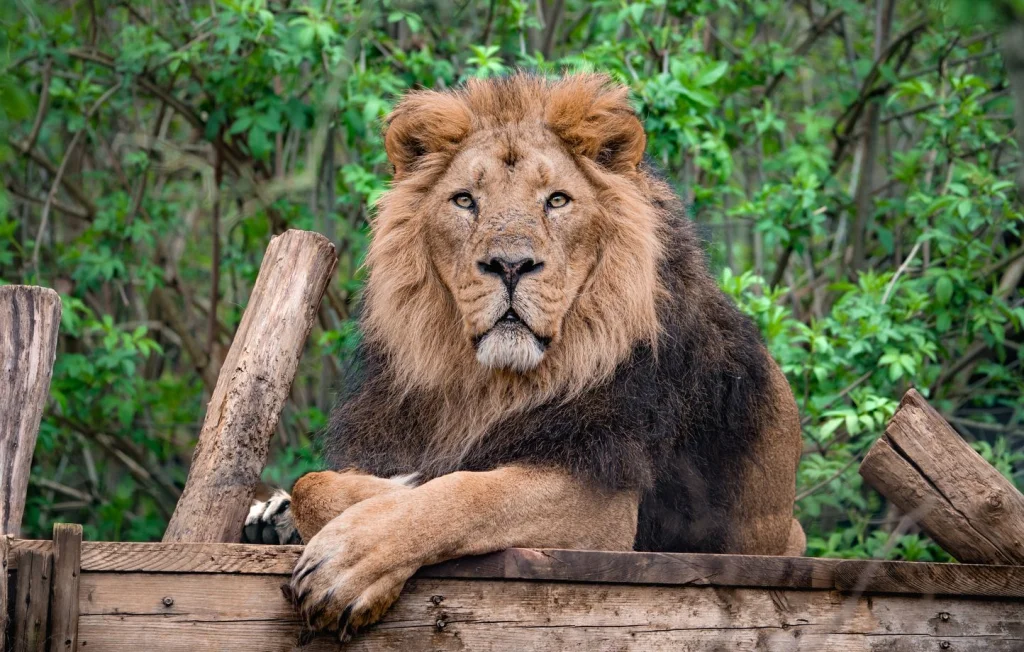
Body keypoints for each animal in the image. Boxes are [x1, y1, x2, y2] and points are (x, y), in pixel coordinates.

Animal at [242, 73, 805, 637]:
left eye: (556, 201)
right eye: (465, 200)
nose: (510, 265)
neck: (486, 386)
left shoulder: (603, 505)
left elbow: (460, 492)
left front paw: (346, 559)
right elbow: (318, 482)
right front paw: (291, 509)